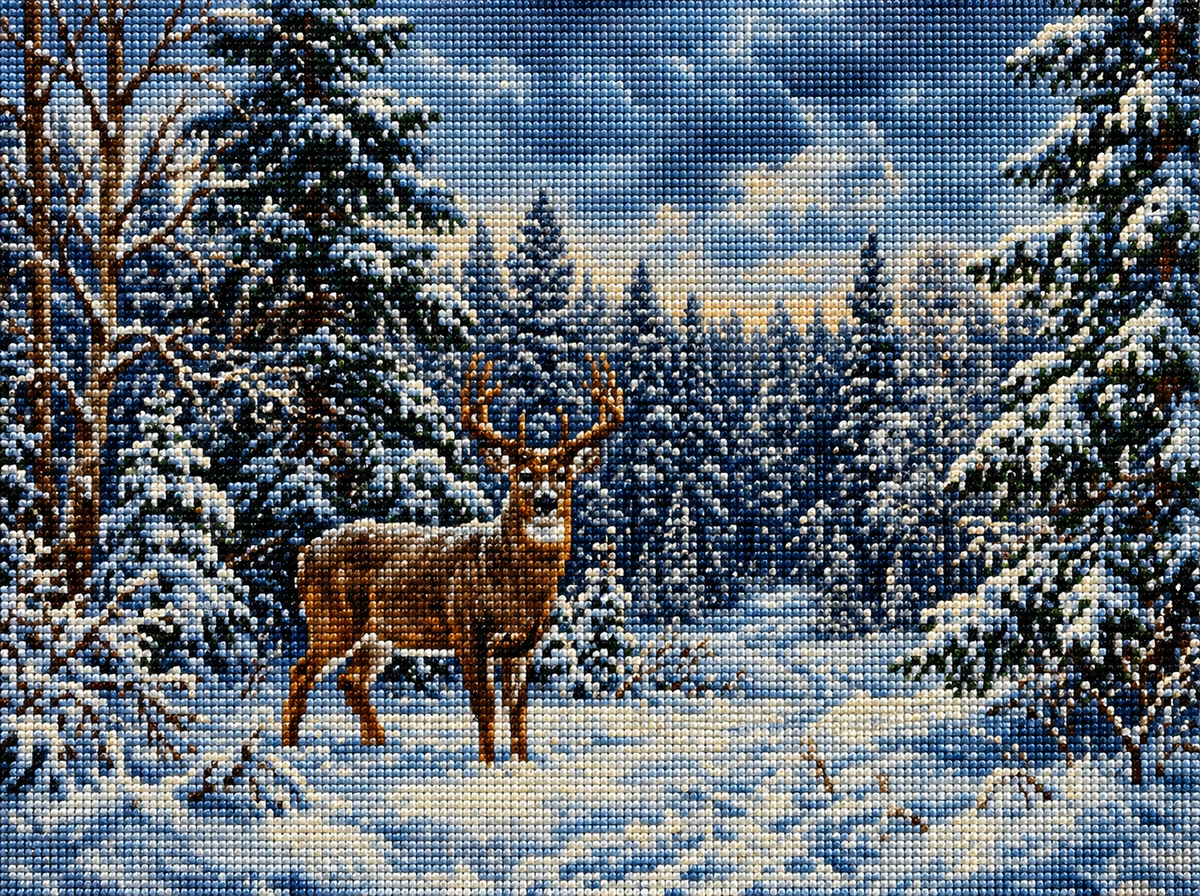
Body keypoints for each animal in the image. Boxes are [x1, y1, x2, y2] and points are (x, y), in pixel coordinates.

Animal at [281, 354, 623, 762]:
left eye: (563, 474)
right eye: (522, 474)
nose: (546, 500)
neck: (513, 584)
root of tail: (304, 554)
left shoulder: (524, 643)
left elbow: (518, 708)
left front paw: (521, 764)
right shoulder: (468, 629)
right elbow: (485, 705)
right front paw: (488, 765)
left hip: (380, 634)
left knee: (350, 678)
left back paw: (378, 746)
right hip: (333, 617)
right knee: (302, 671)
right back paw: (289, 750)